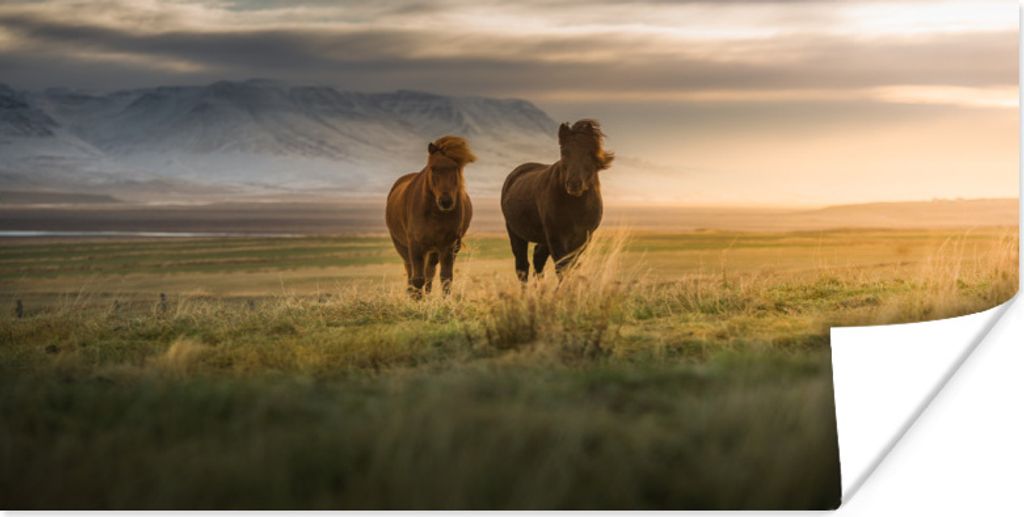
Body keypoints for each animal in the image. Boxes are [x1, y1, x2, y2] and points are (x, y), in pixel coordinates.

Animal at [386, 136, 476, 298]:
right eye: (433, 168)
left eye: (456, 168)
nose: (446, 201)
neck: (435, 214)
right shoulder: (415, 245)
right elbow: (417, 279)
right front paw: (416, 300)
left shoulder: (447, 246)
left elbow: (445, 279)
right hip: (403, 246)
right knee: (411, 272)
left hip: (436, 250)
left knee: (430, 273)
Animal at [500, 119, 614, 282]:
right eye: (564, 152)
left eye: (589, 152)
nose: (574, 184)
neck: (576, 206)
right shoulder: (557, 238)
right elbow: (562, 268)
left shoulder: (583, 239)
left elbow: (569, 266)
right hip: (516, 233)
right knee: (522, 267)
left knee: (538, 259)